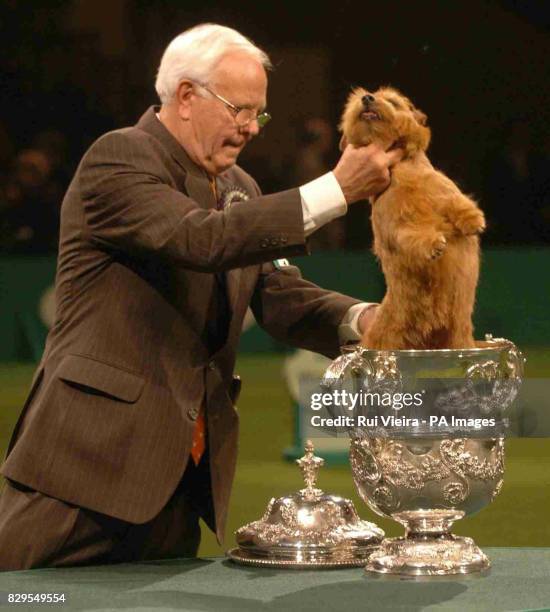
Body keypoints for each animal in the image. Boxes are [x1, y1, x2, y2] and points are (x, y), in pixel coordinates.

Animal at [340, 88, 488, 352]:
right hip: (385, 337)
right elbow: (412, 234)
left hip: (458, 334)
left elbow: (457, 202)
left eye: (392, 101)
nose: (367, 98)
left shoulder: (443, 190)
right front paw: (433, 244)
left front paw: (473, 220)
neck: (401, 170)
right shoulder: (394, 226)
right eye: (358, 98)